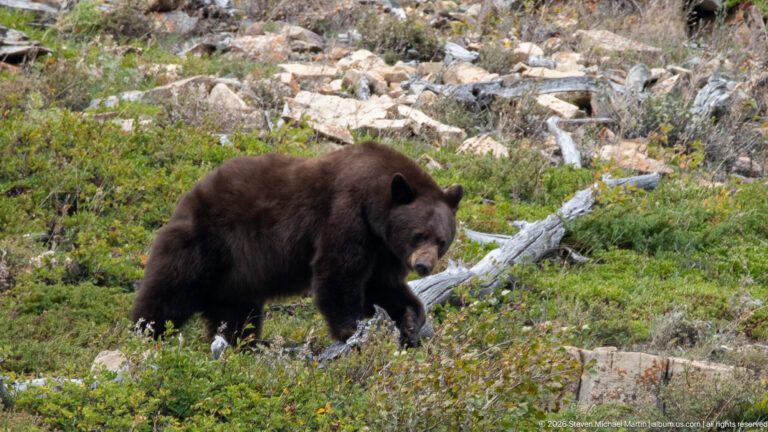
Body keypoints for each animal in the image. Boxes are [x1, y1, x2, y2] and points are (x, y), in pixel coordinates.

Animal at [131, 141, 463, 346]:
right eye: (418, 234)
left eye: (441, 240)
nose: (424, 265)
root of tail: (189, 196)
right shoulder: (347, 215)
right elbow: (337, 273)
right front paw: (352, 332)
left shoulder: (383, 249)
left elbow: (383, 285)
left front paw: (410, 324)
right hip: (205, 245)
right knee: (169, 291)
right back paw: (144, 331)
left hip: (235, 277)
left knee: (236, 313)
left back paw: (243, 345)